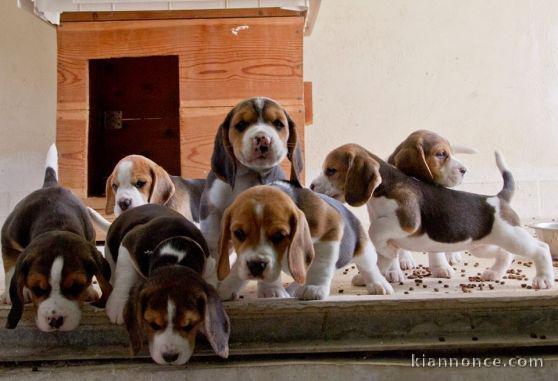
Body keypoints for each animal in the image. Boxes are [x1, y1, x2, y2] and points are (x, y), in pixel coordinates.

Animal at [0, 144, 112, 332]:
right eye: (37, 288)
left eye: (76, 287)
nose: (55, 320)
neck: (56, 224)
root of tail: (51, 185)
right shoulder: (8, 239)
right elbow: (10, 267)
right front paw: (11, 294)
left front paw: (89, 289)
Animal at [104, 203, 229, 364]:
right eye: (153, 325)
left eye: (189, 326)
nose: (170, 357)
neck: (175, 258)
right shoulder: (129, 243)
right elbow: (125, 274)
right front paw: (118, 304)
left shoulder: (210, 266)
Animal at [200, 97, 306, 258]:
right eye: (241, 125)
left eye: (278, 124)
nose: (263, 139)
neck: (251, 174)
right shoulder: (211, 211)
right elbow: (213, 240)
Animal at [312, 142, 556, 288]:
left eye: (331, 170)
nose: (312, 186)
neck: (383, 188)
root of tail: (498, 198)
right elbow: (384, 258)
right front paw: (372, 275)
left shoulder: (407, 221)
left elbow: (376, 230)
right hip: (483, 245)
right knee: (505, 254)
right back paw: (494, 274)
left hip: (513, 237)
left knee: (540, 249)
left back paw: (543, 279)